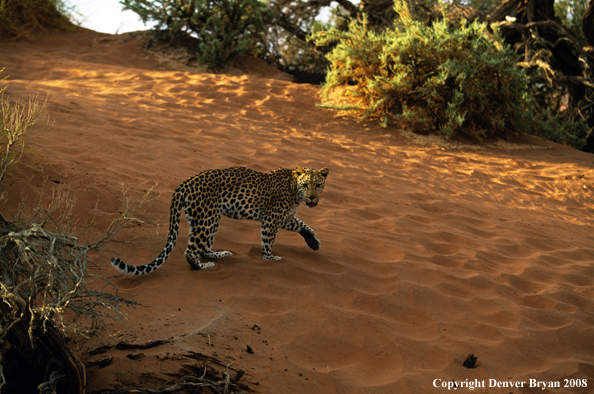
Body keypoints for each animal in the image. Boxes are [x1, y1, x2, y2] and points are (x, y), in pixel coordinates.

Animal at [108, 165, 326, 274]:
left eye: (318, 185)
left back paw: (221, 255)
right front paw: (270, 258)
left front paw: (314, 242)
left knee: (204, 247)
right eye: (306, 185)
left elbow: (305, 226)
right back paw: (203, 266)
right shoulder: (272, 218)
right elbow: (268, 240)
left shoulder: (285, 218)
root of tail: (183, 185)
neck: (294, 191)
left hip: (209, 218)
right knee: (191, 250)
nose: (312, 198)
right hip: (207, 219)